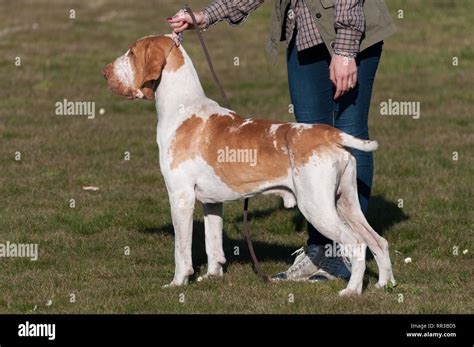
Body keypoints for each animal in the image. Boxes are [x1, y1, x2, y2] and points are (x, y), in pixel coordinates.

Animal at [104, 35, 396, 296]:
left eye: (131, 53)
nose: (105, 71)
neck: (182, 106)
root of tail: (330, 134)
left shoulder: (180, 197)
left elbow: (181, 251)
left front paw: (178, 283)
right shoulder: (212, 203)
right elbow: (213, 244)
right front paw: (212, 276)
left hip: (318, 208)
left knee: (357, 244)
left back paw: (352, 291)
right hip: (346, 204)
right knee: (378, 241)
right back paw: (384, 285)